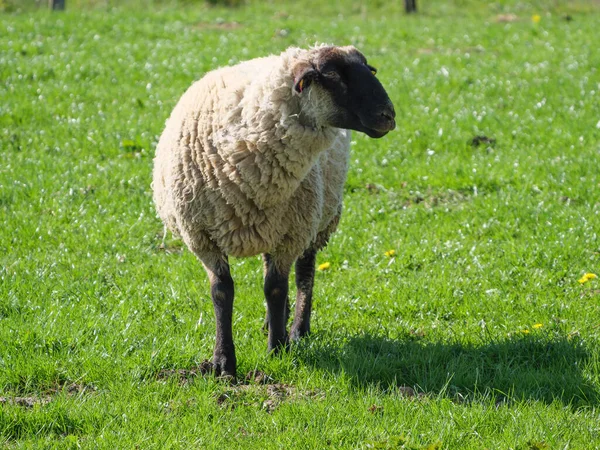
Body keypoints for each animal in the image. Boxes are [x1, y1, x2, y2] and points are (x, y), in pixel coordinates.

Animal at [152, 44, 396, 376]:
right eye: (333, 75)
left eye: (368, 70)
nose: (389, 116)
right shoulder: (201, 237)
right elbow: (222, 292)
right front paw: (223, 361)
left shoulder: (293, 233)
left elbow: (276, 288)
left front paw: (278, 348)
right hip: (272, 222)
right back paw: (271, 321)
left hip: (314, 221)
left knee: (304, 274)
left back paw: (297, 329)